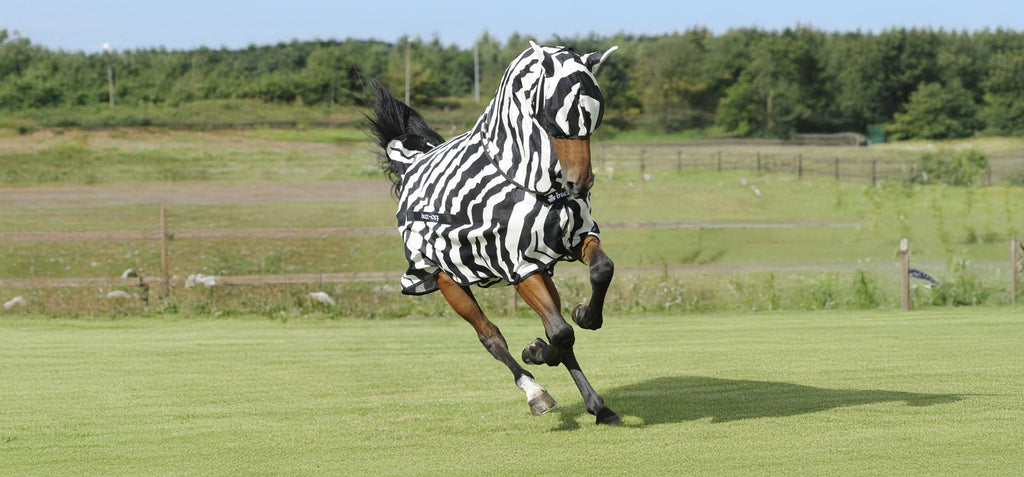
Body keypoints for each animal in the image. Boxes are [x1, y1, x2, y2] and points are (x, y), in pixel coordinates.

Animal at [367, 41, 621, 424]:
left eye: (595, 116)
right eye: (554, 115)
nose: (580, 183)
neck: (527, 182)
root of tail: (411, 165)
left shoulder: (571, 240)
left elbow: (599, 274)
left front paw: (582, 317)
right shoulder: (518, 266)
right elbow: (560, 333)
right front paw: (538, 352)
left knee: (553, 327)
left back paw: (596, 403)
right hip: (448, 282)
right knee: (492, 337)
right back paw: (535, 392)